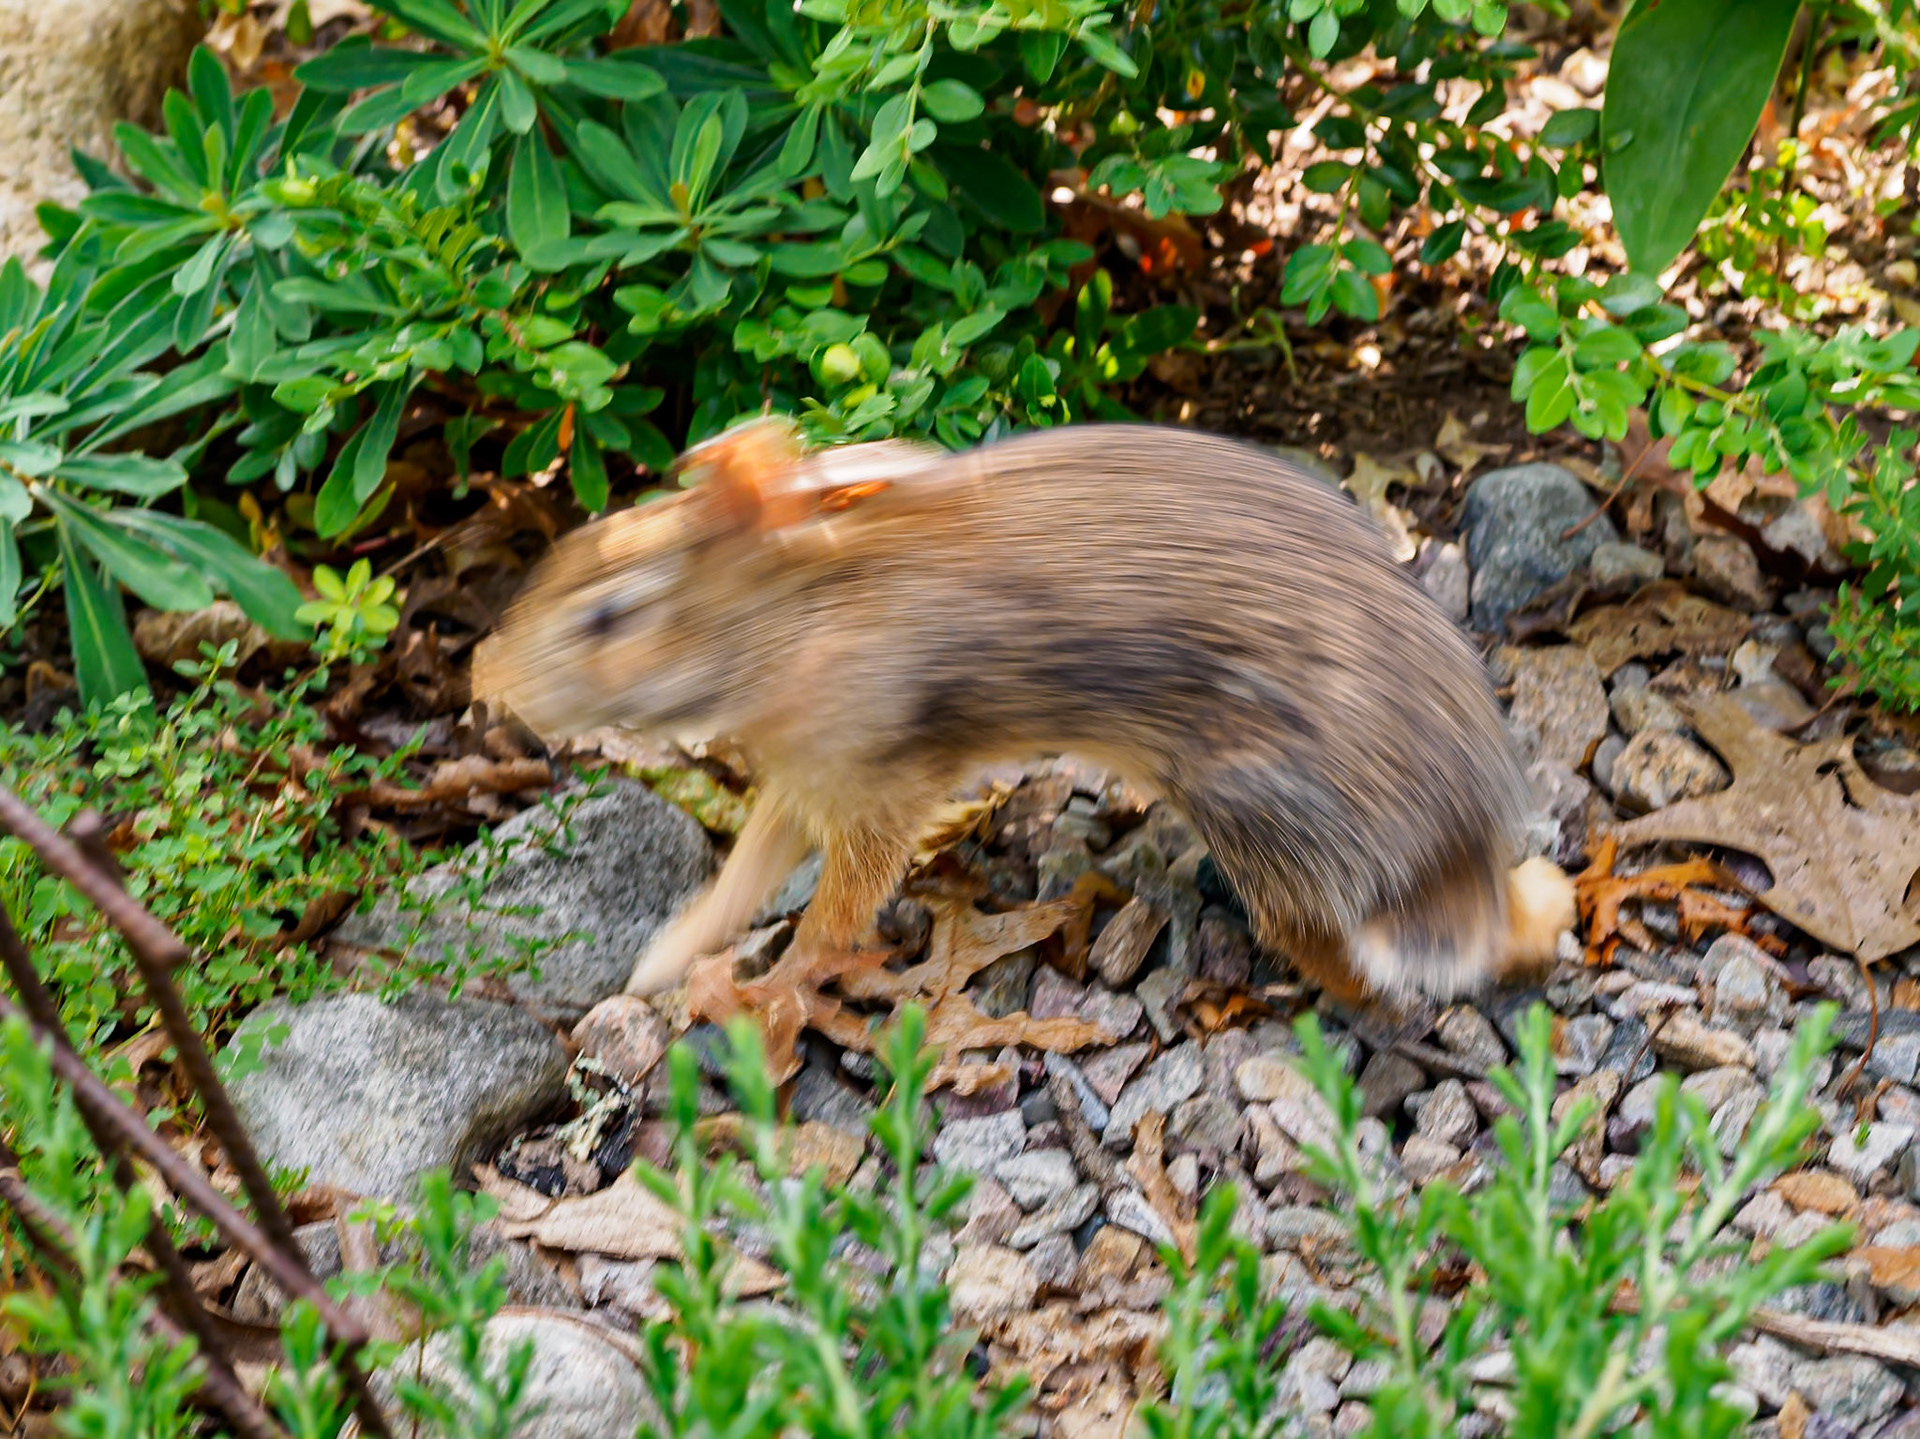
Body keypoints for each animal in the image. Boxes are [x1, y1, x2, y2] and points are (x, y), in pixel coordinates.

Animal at [472, 416, 1575, 1006]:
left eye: (611, 615)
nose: (491, 680)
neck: (788, 622)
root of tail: (1455, 856)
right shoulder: (805, 787)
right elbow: (739, 879)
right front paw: (657, 966)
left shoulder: (872, 797)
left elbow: (832, 915)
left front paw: (769, 991)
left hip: (1262, 816)